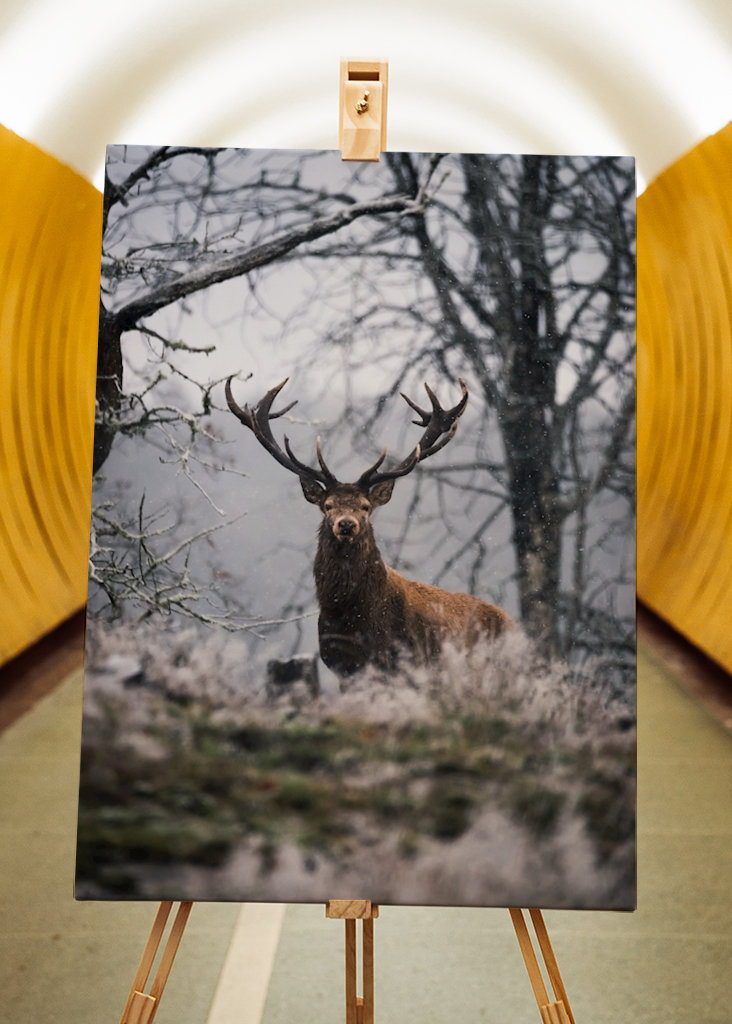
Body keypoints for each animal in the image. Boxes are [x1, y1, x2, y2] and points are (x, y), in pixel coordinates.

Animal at [225, 375, 511, 677]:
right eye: (328, 506)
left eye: (365, 506)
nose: (346, 524)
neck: (352, 619)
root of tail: (514, 625)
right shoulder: (341, 665)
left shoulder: (404, 662)